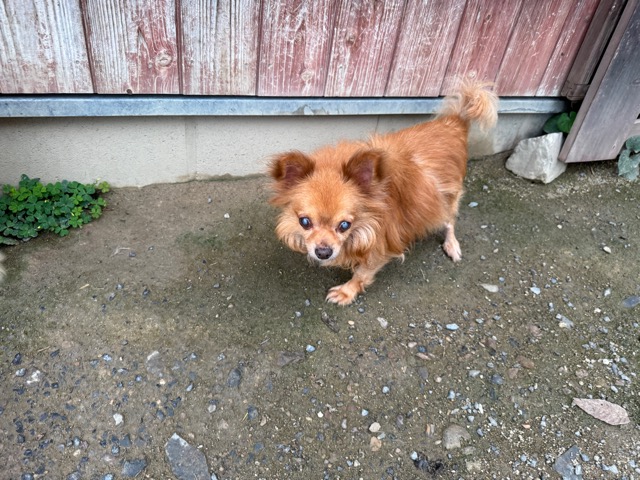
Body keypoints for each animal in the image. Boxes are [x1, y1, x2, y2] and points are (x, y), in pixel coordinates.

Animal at [268, 81, 498, 305]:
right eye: (304, 222)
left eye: (345, 225)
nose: (323, 252)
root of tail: (454, 121)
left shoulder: (382, 245)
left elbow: (362, 273)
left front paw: (346, 292)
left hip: (448, 198)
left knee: (450, 221)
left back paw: (451, 245)